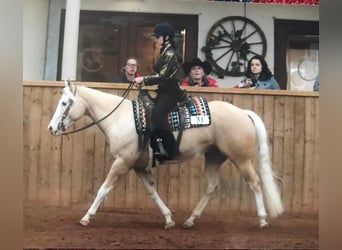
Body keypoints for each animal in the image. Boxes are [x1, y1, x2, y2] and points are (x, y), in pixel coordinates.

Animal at [48, 80, 284, 229]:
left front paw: (86, 218)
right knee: (211, 187)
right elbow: (153, 192)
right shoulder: (139, 166)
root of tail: (243, 112)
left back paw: (263, 219)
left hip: (241, 159)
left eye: (64, 103)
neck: (121, 118)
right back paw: (190, 220)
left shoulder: (122, 162)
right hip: (214, 156)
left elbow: (103, 189)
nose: (51, 128)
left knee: (255, 183)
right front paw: (169, 219)